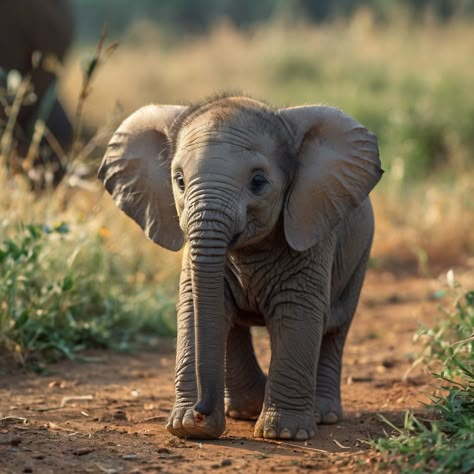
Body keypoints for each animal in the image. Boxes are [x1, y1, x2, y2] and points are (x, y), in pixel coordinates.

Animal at [98, 95, 384, 440]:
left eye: (258, 182)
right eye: (179, 181)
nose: (200, 412)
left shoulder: (311, 233)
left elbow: (296, 312)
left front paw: (283, 434)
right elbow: (197, 309)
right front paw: (187, 428)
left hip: (360, 255)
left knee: (335, 327)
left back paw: (322, 414)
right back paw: (246, 409)